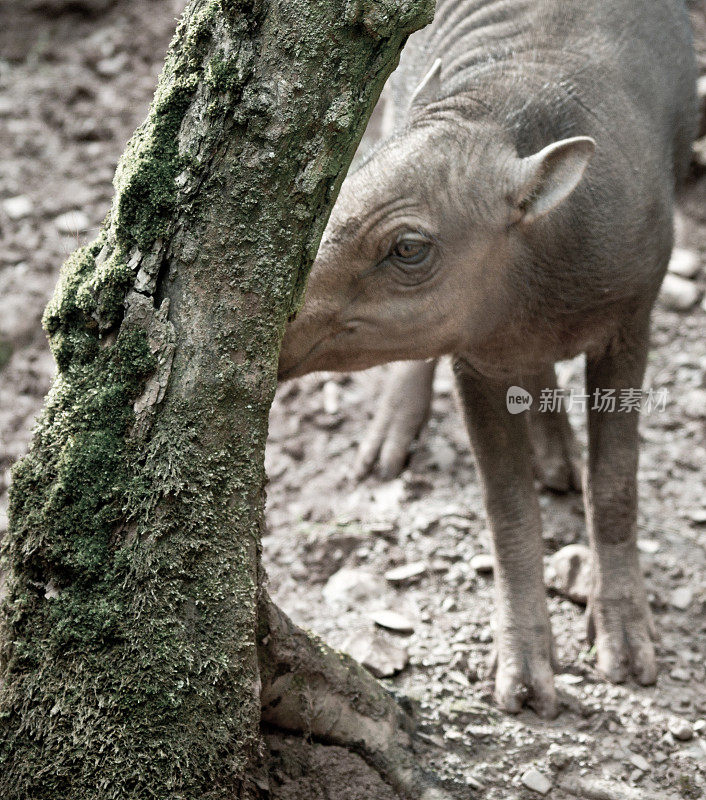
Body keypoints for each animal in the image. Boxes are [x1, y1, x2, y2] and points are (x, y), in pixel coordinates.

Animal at [278, 0, 696, 716]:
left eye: (408, 248)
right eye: (338, 197)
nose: (272, 323)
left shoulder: (633, 319)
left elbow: (615, 483)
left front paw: (626, 643)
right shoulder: (475, 356)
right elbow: (506, 509)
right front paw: (526, 676)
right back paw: (393, 441)